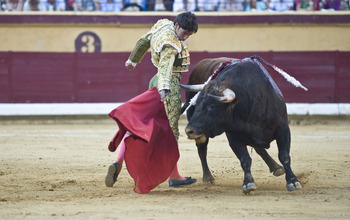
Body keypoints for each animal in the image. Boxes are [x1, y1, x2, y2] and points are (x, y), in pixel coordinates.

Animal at [180, 57, 306, 194]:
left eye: (212, 106)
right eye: (196, 104)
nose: (189, 130)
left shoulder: (283, 129)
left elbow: (284, 156)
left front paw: (293, 181)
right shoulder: (233, 136)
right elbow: (245, 159)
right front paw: (248, 183)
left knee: (260, 148)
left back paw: (276, 167)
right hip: (203, 134)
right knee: (202, 148)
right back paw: (208, 177)